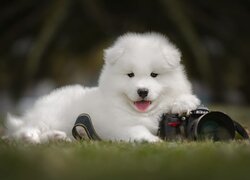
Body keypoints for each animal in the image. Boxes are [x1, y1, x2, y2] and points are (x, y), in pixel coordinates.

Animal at [4, 32, 199, 142]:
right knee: (25, 130)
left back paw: (60, 138)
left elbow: (181, 97)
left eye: (154, 75)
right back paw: (30, 136)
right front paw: (153, 140)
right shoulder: (117, 126)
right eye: (130, 75)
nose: (143, 91)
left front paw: (184, 104)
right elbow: (135, 130)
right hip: (48, 115)